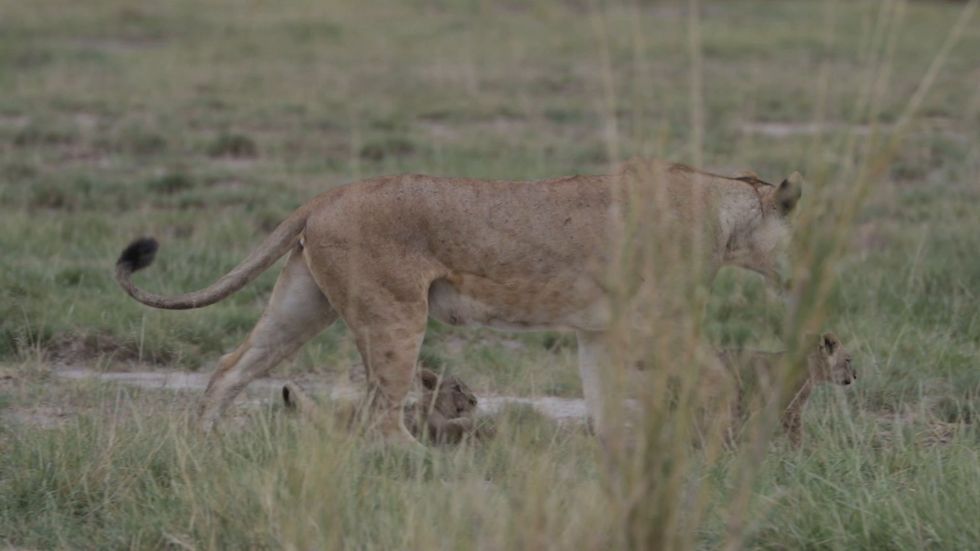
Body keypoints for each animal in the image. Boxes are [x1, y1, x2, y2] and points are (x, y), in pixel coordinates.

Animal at [715, 332, 856, 447]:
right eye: (848, 360)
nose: (856, 375)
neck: (813, 370)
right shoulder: (790, 408)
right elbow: (796, 435)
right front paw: (799, 457)